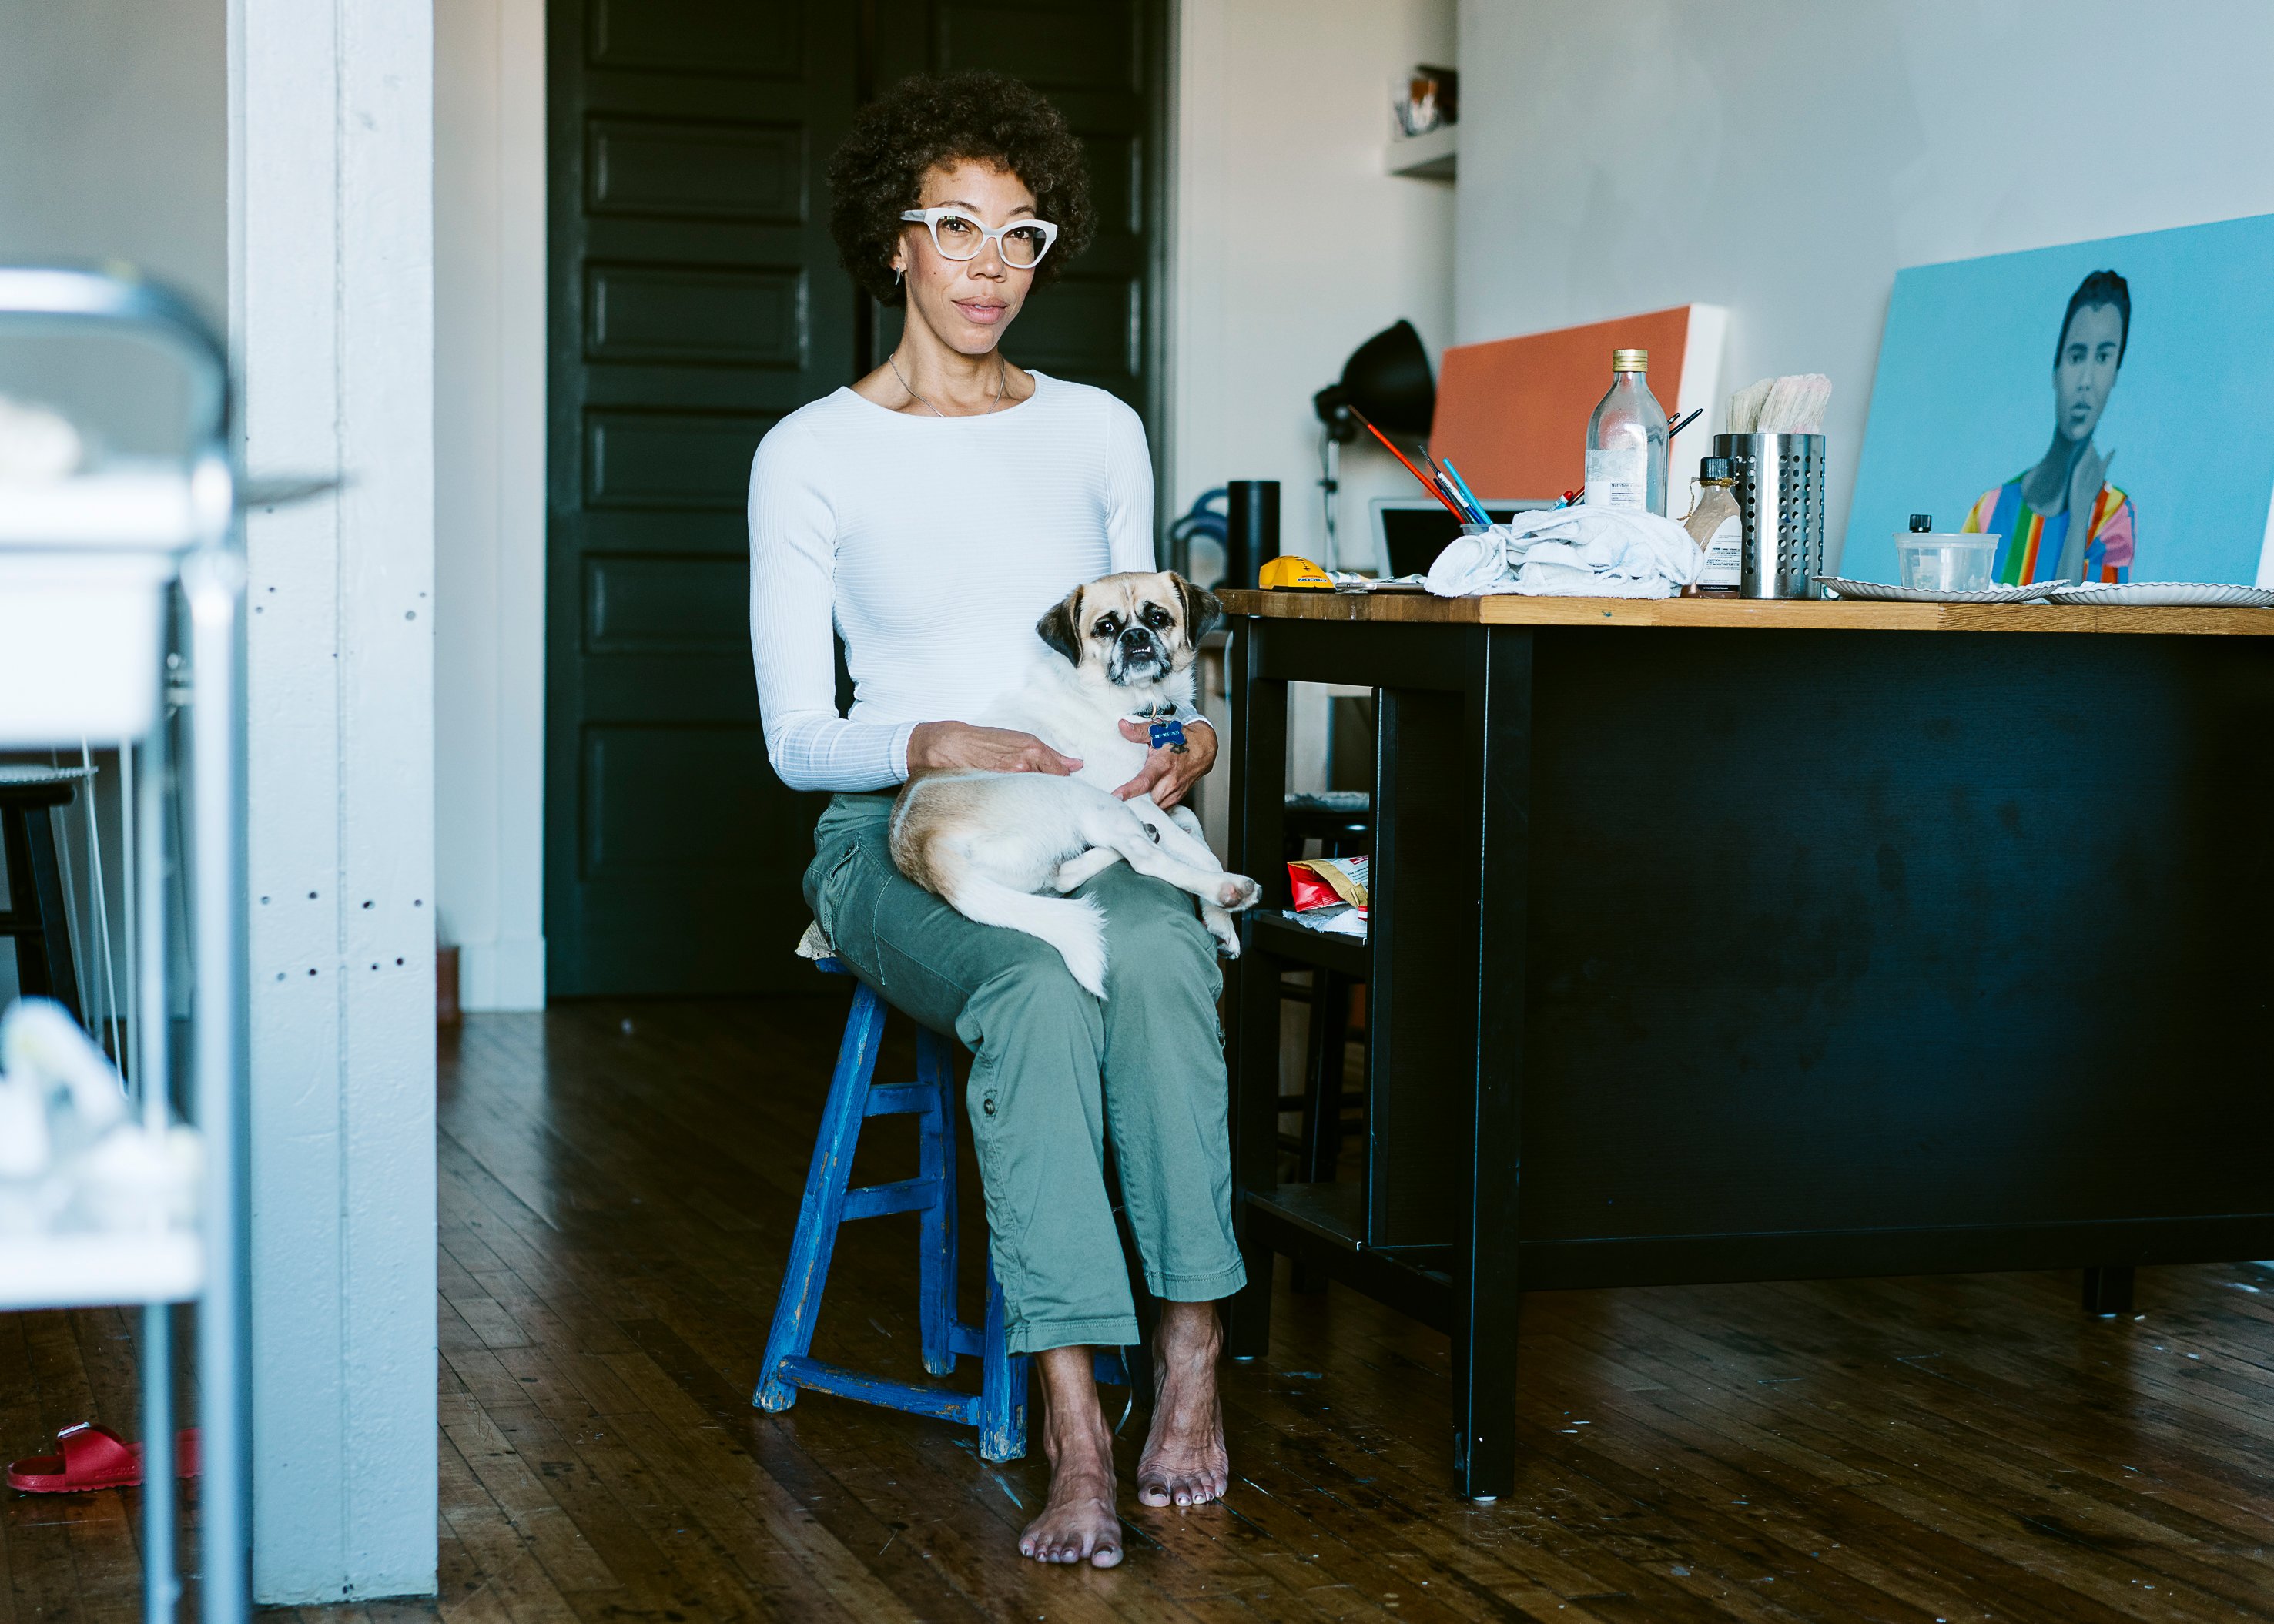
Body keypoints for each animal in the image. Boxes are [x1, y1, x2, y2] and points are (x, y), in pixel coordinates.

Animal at [886, 568, 1273, 1000]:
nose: (1135, 637)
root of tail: (923, 849)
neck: (1137, 705)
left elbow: (1193, 825)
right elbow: (1203, 855)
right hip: (1088, 798)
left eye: (1158, 619)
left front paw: (1219, 925)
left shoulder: (1161, 800)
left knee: (1066, 874)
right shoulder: (1134, 797)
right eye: (1105, 628)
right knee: (1145, 859)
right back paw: (1228, 888)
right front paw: (1222, 905)